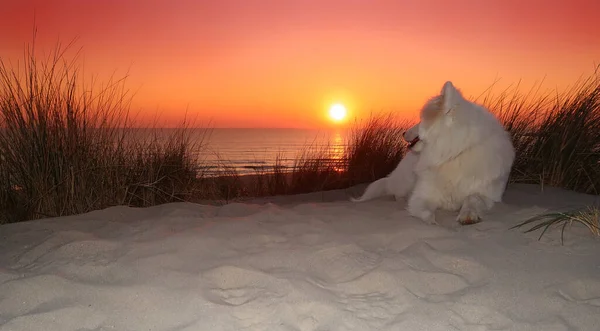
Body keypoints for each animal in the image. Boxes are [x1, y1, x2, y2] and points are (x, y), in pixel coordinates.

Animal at [352, 81, 516, 226]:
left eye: (421, 119)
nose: (403, 133)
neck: (451, 155)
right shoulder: (422, 195)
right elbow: (424, 211)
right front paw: (432, 221)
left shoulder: (488, 195)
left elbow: (473, 198)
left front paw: (468, 214)